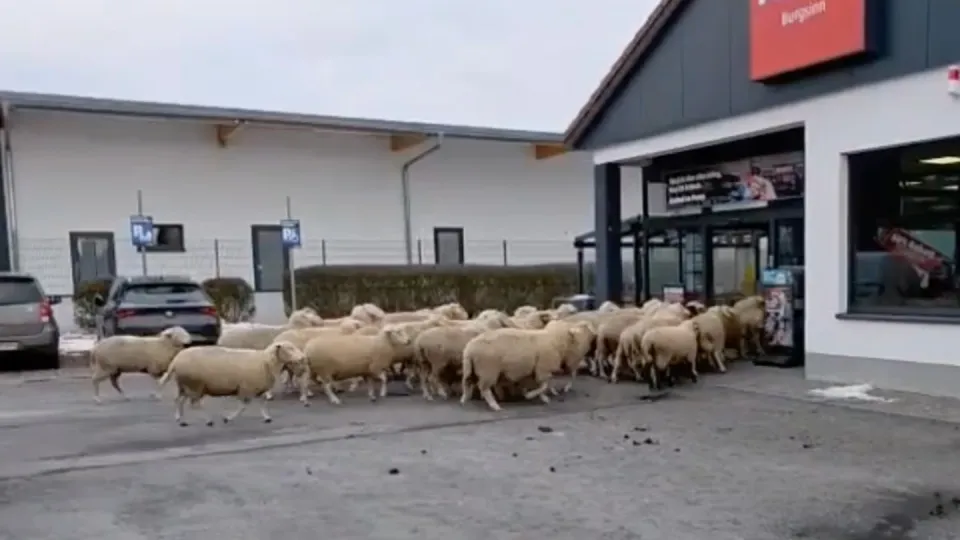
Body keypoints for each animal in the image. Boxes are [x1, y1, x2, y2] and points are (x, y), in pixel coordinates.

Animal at [157, 341, 306, 426]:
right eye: (289, 348)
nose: (302, 357)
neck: (265, 361)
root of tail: (175, 361)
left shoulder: (258, 389)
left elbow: (263, 403)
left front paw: (267, 417)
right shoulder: (246, 388)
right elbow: (243, 406)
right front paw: (228, 418)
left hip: (185, 385)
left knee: (178, 400)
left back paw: (181, 420)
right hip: (195, 385)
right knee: (194, 404)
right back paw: (208, 420)